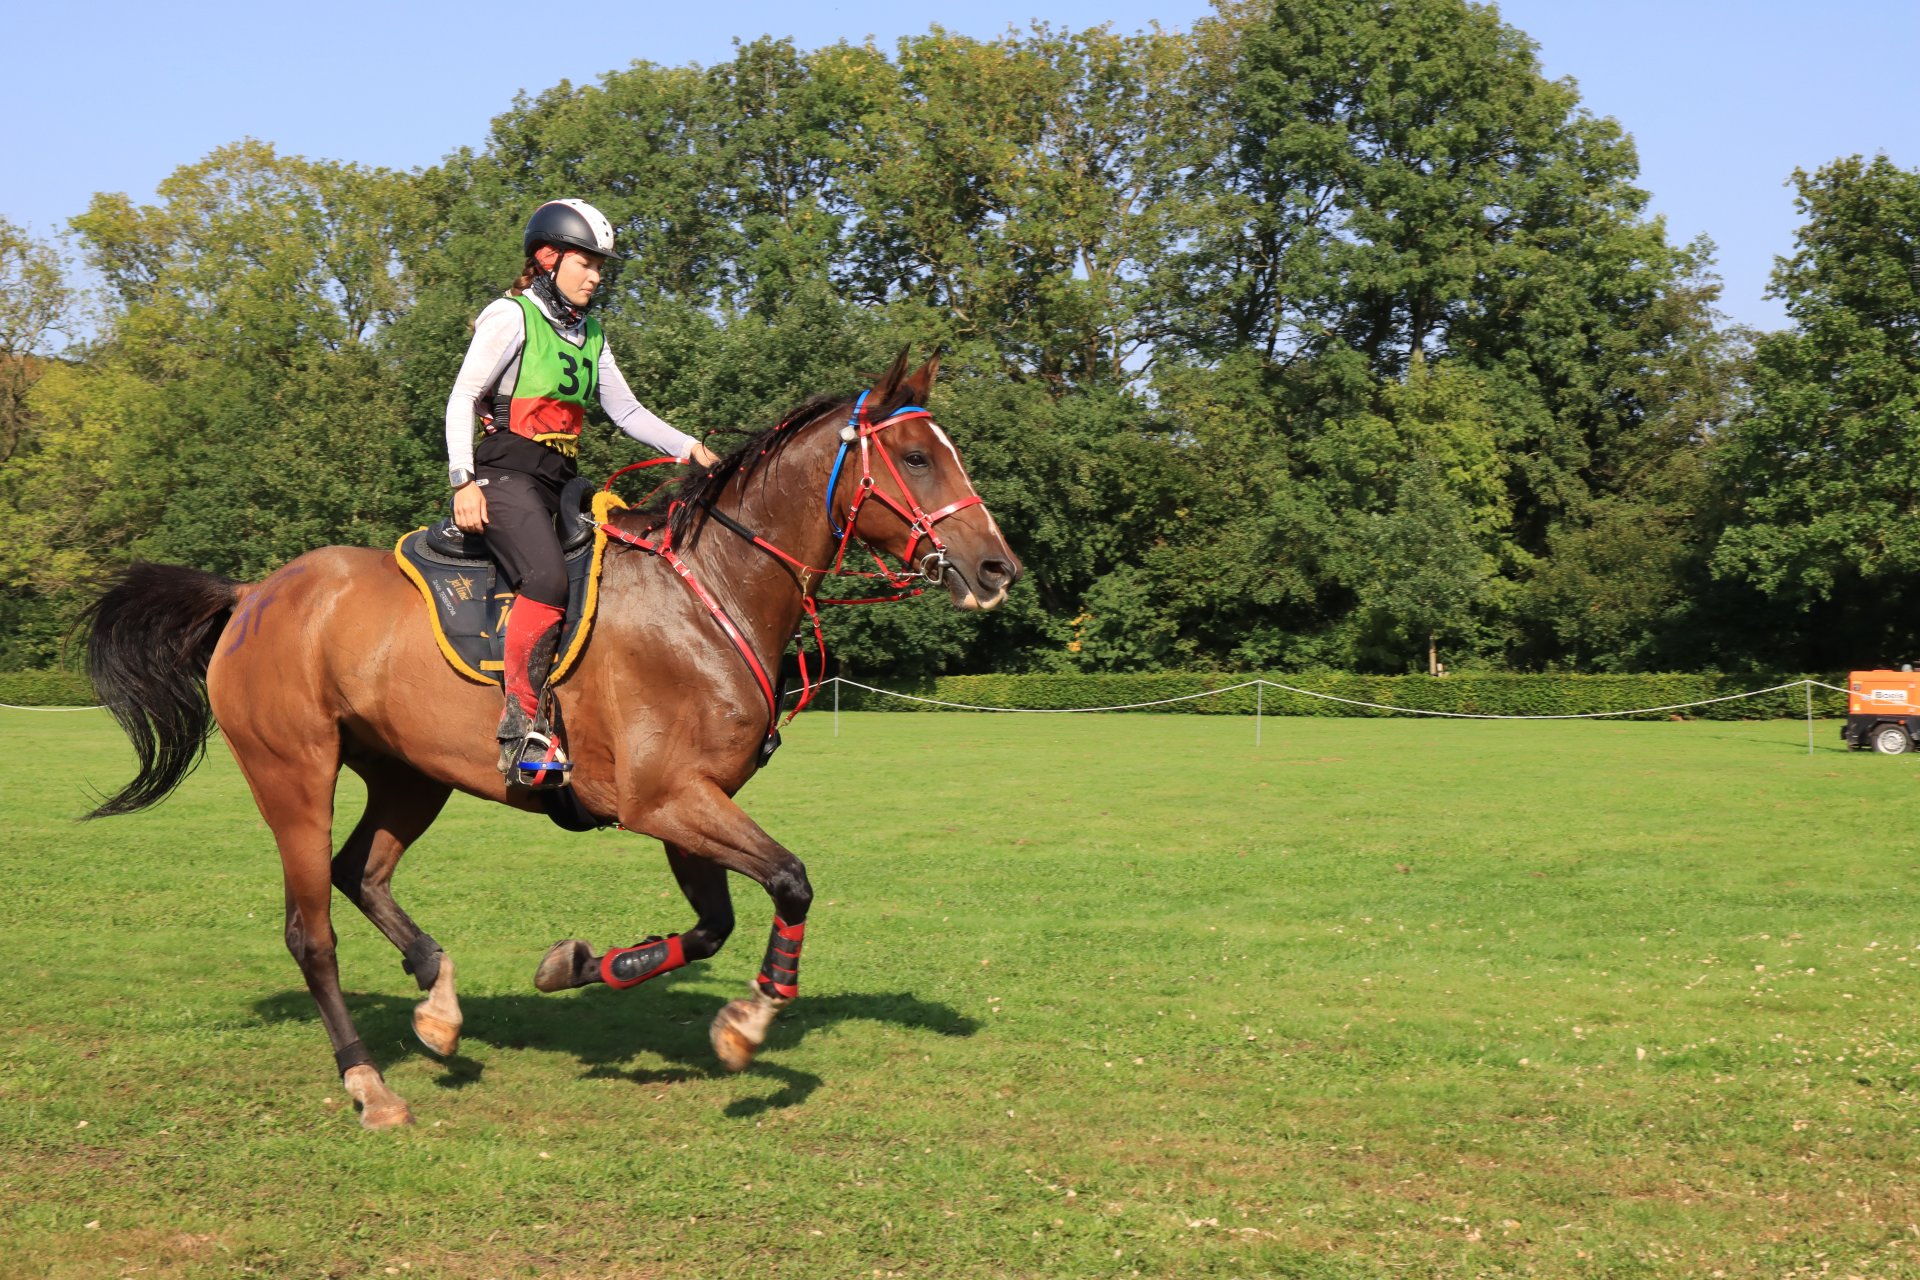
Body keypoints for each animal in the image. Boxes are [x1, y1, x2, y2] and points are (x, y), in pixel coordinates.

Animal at [82, 351, 1021, 1128]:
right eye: (916, 457)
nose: (997, 569)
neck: (711, 590)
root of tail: (251, 595)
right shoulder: (663, 800)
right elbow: (790, 881)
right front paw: (752, 1020)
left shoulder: (691, 803)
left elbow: (711, 924)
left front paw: (575, 967)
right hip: (295, 775)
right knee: (312, 934)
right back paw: (369, 1084)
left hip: (410, 775)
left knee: (362, 873)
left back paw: (438, 1002)